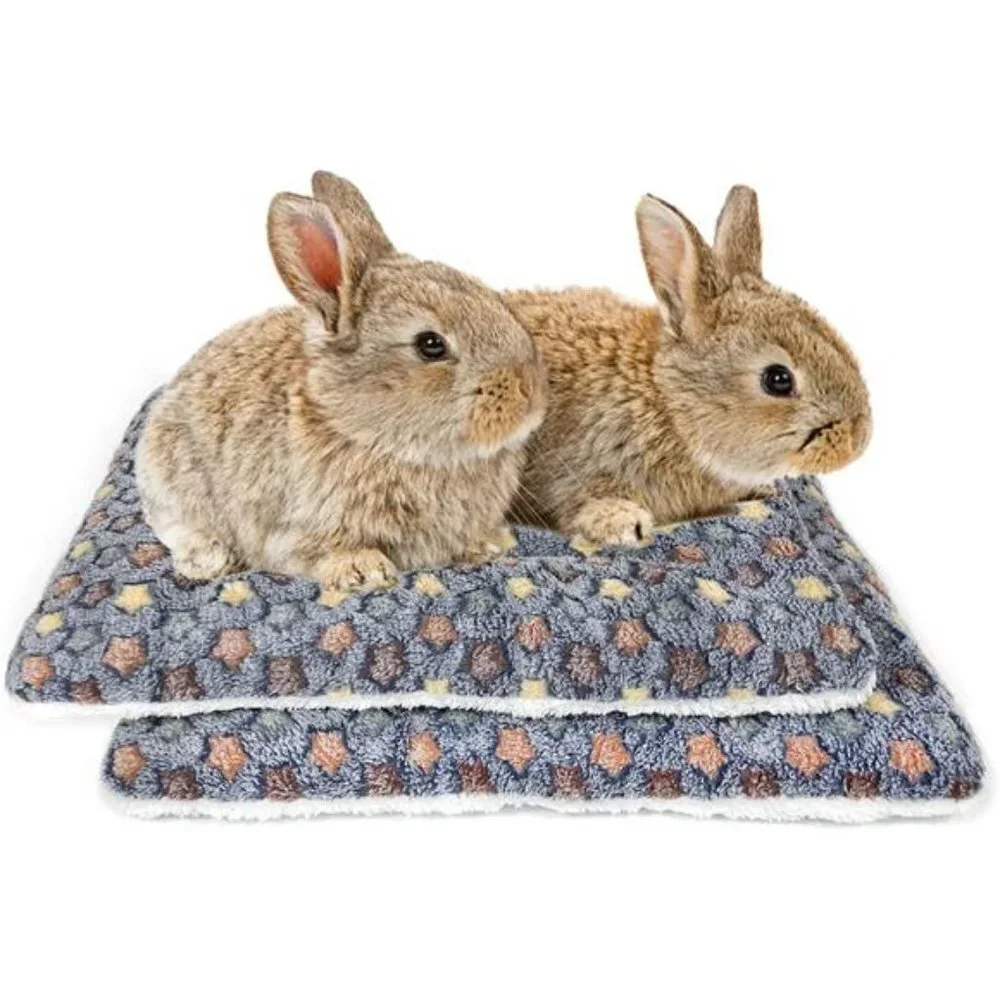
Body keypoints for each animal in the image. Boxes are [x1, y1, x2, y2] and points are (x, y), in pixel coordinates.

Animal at [135, 171, 546, 590]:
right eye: (430, 345)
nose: (531, 395)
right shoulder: (298, 528)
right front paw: (363, 571)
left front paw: (490, 543)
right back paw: (207, 560)